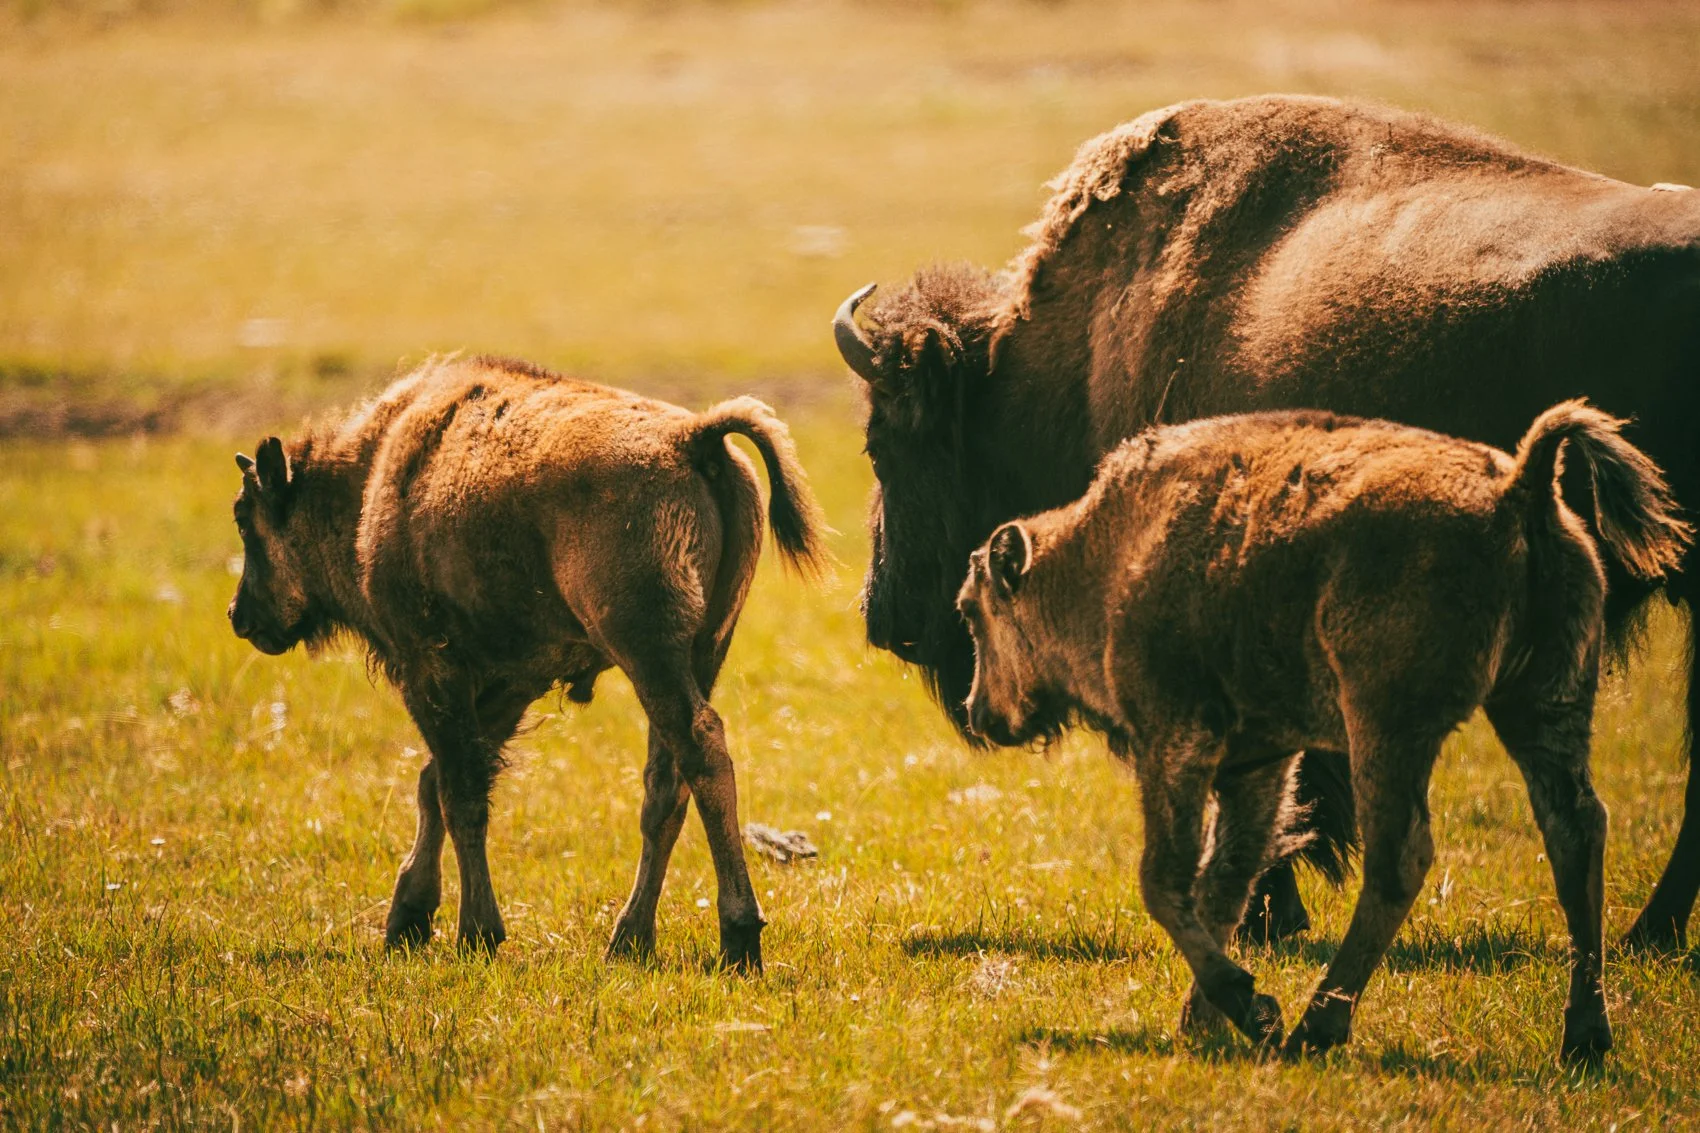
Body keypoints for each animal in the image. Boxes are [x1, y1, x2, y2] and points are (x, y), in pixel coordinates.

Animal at [228, 356, 826, 968]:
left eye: (244, 518)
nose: (239, 615)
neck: (374, 477)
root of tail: (694, 438)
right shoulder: (511, 685)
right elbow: (435, 782)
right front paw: (408, 918)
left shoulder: (432, 670)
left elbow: (458, 793)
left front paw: (476, 931)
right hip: (703, 652)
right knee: (667, 785)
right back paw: (628, 939)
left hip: (649, 655)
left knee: (699, 751)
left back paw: (737, 936)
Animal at [958, 402, 1688, 1061]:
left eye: (971, 610)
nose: (977, 712)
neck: (1112, 553)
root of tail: (1520, 488)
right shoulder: (1259, 762)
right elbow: (1226, 877)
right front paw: (1209, 1018)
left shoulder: (1176, 741)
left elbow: (1164, 879)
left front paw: (1247, 1006)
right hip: (1544, 705)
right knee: (1575, 830)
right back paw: (1585, 1038)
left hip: (1387, 726)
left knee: (1400, 857)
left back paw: (1317, 1029)